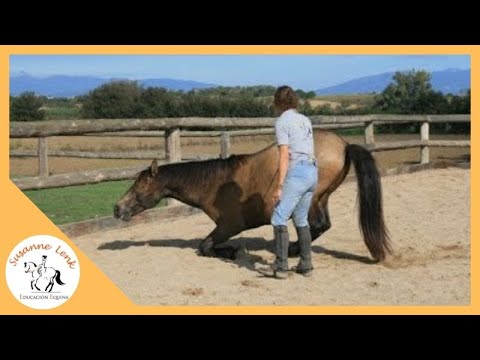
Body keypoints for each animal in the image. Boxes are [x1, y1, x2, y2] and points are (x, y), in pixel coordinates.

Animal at [114, 129, 392, 262]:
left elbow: (204, 246)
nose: (117, 208)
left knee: (318, 225)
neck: (215, 184)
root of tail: (343, 145)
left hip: (311, 200)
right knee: (322, 225)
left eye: (139, 186)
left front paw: (231, 251)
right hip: (321, 198)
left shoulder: (229, 225)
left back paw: (291, 249)